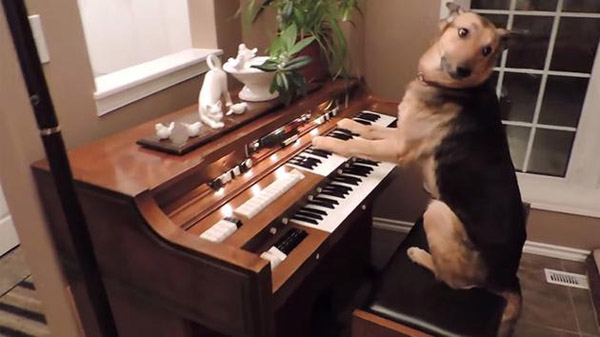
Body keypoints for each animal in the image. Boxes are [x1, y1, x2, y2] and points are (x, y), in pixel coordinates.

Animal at [312, 3, 528, 336]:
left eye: (487, 50)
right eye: (463, 32)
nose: (463, 70)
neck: (447, 86)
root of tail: (507, 279)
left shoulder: (400, 149)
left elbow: (356, 145)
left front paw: (325, 140)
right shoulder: (399, 133)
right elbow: (368, 131)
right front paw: (347, 122)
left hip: (438, 211)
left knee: (454, 281)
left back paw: (419, 254)